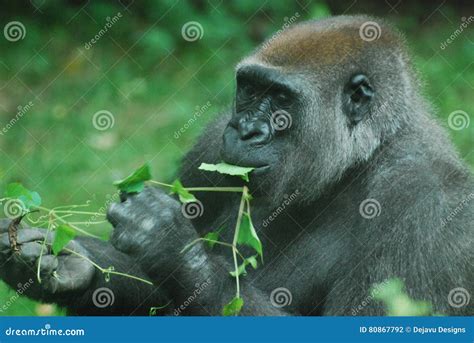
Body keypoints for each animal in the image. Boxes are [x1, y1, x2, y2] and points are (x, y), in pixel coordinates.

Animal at [0, 16, 474, 318]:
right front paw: (64, 263)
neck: (359, 161)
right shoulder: (210, 144)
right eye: (248, 89)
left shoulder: (430, 203)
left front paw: (171, 246)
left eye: (281, 99)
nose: (244, 129)